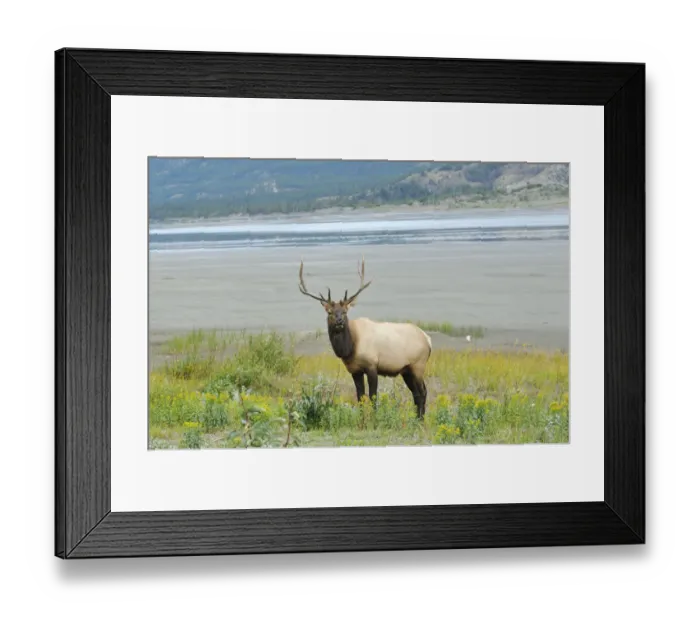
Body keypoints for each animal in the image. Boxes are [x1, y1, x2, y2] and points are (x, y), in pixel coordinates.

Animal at [298, 258, 432, 419]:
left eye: (345, 311)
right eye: (330, 312)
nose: (339, 321)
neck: (350, 348)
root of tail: (428, 340)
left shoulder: (372, 365)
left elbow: (373, 397)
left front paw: (374, 419)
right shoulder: (355, 370)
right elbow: (360, 397)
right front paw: (362, 420)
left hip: (418, 365)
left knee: (423, 392)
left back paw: (421, 420)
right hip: (406, 370)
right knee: (416, 394)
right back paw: (417, 420)